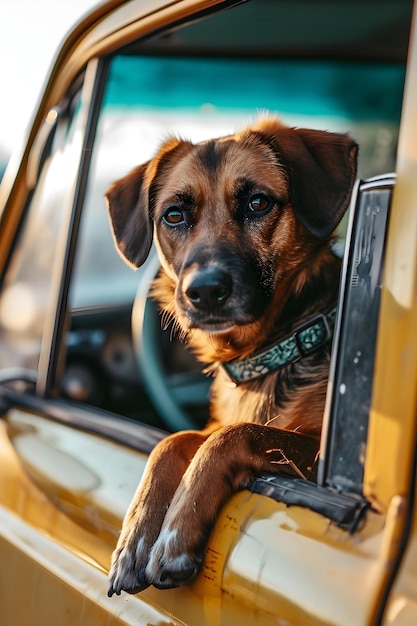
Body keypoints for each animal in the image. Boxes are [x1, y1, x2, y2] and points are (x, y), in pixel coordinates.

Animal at [105, 116, 356, 596]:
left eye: (258, 203)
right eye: (174, 215)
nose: (203, 291)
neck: (271, 348)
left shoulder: (318, 463)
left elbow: (237, 433)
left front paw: (175, 534)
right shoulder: (199, 428)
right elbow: (173, 440)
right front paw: (137, 532)